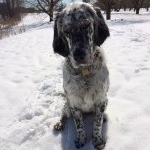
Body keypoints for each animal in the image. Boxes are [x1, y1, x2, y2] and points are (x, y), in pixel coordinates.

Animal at [53, 2, 109, 149]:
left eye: (86, 25)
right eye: (66, 31)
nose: (78, 55)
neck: (85, 72)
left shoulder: (101, 100)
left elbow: (97, 123)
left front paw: (97, 140)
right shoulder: (74, 104)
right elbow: (79, 125)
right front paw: (81, 139)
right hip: (66, 105)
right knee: (63, 115)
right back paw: (59, 123)